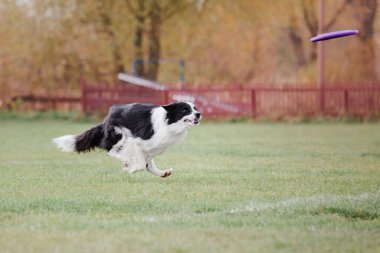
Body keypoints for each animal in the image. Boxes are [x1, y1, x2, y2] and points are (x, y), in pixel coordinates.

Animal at [53, 102, 202, 178]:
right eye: (185, 110)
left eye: (194, 108)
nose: (199, 114)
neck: (169, 123)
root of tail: (109, 115)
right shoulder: (136, 142)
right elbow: (140, 164)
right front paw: (130, 168)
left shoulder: (154, 148)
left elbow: (147, 163)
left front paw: (160, 172)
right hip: (118, 135)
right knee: (111, 151)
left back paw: (161, 173)